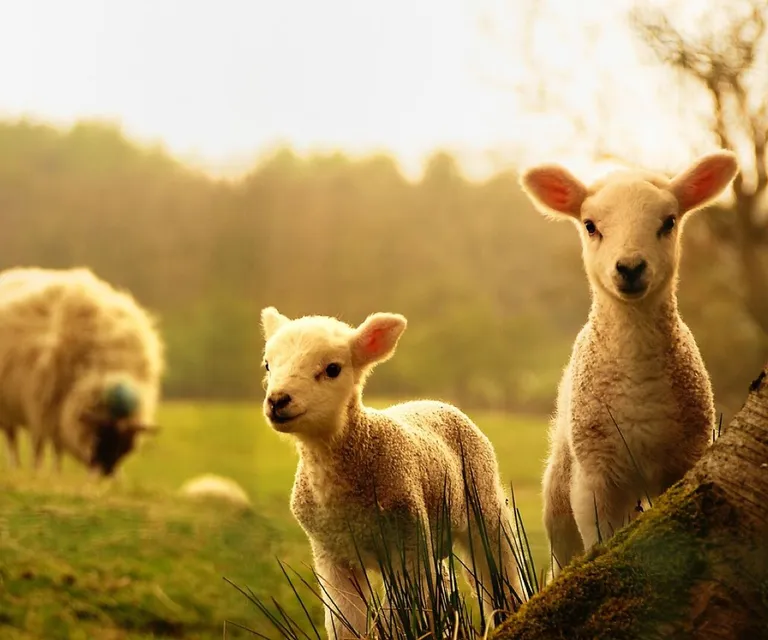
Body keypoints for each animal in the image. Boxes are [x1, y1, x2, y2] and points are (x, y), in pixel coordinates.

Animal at [0, 266, 165, 476]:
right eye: (101, 435)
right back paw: (17, 467)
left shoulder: (58, 412)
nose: (105, 474)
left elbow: (57, 446)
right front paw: (42, 472)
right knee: (12, 439)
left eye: (125, 445)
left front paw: (56, 473)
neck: (112, 366)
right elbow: (44, 446)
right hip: (8, 406)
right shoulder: (43, 406)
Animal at [260, 306, 524, 639]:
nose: (278, 400)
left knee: (499, 572)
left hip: (484, 503)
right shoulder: (332, 555)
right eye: (268, 365)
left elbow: (401, 617)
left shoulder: (407, 544)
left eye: (332, 369)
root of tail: (435, 401)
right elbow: (345, 622)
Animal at [519, 150, 740, 579]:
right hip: (559, 489)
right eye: (590, 225)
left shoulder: (682, 462)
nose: (631, 268)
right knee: (560, 556)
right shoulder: (595, 478)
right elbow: (598, 543)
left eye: (669, 222)